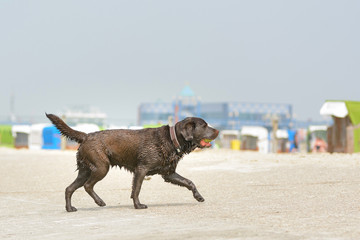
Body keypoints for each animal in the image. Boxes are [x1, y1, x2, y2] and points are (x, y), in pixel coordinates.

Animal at [45, 113, 219, 211]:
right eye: (204, 125)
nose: (218, 130)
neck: (172, 139)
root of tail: (87, 135)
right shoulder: (141, 170)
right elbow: (137, 189)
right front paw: (138, 206)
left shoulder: (169, 174)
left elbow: (189, 182)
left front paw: (198, 197)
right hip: (101, 167)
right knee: (88, 186)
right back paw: (100, 202)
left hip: (85, 170)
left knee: (69, 188)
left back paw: (70, 208)